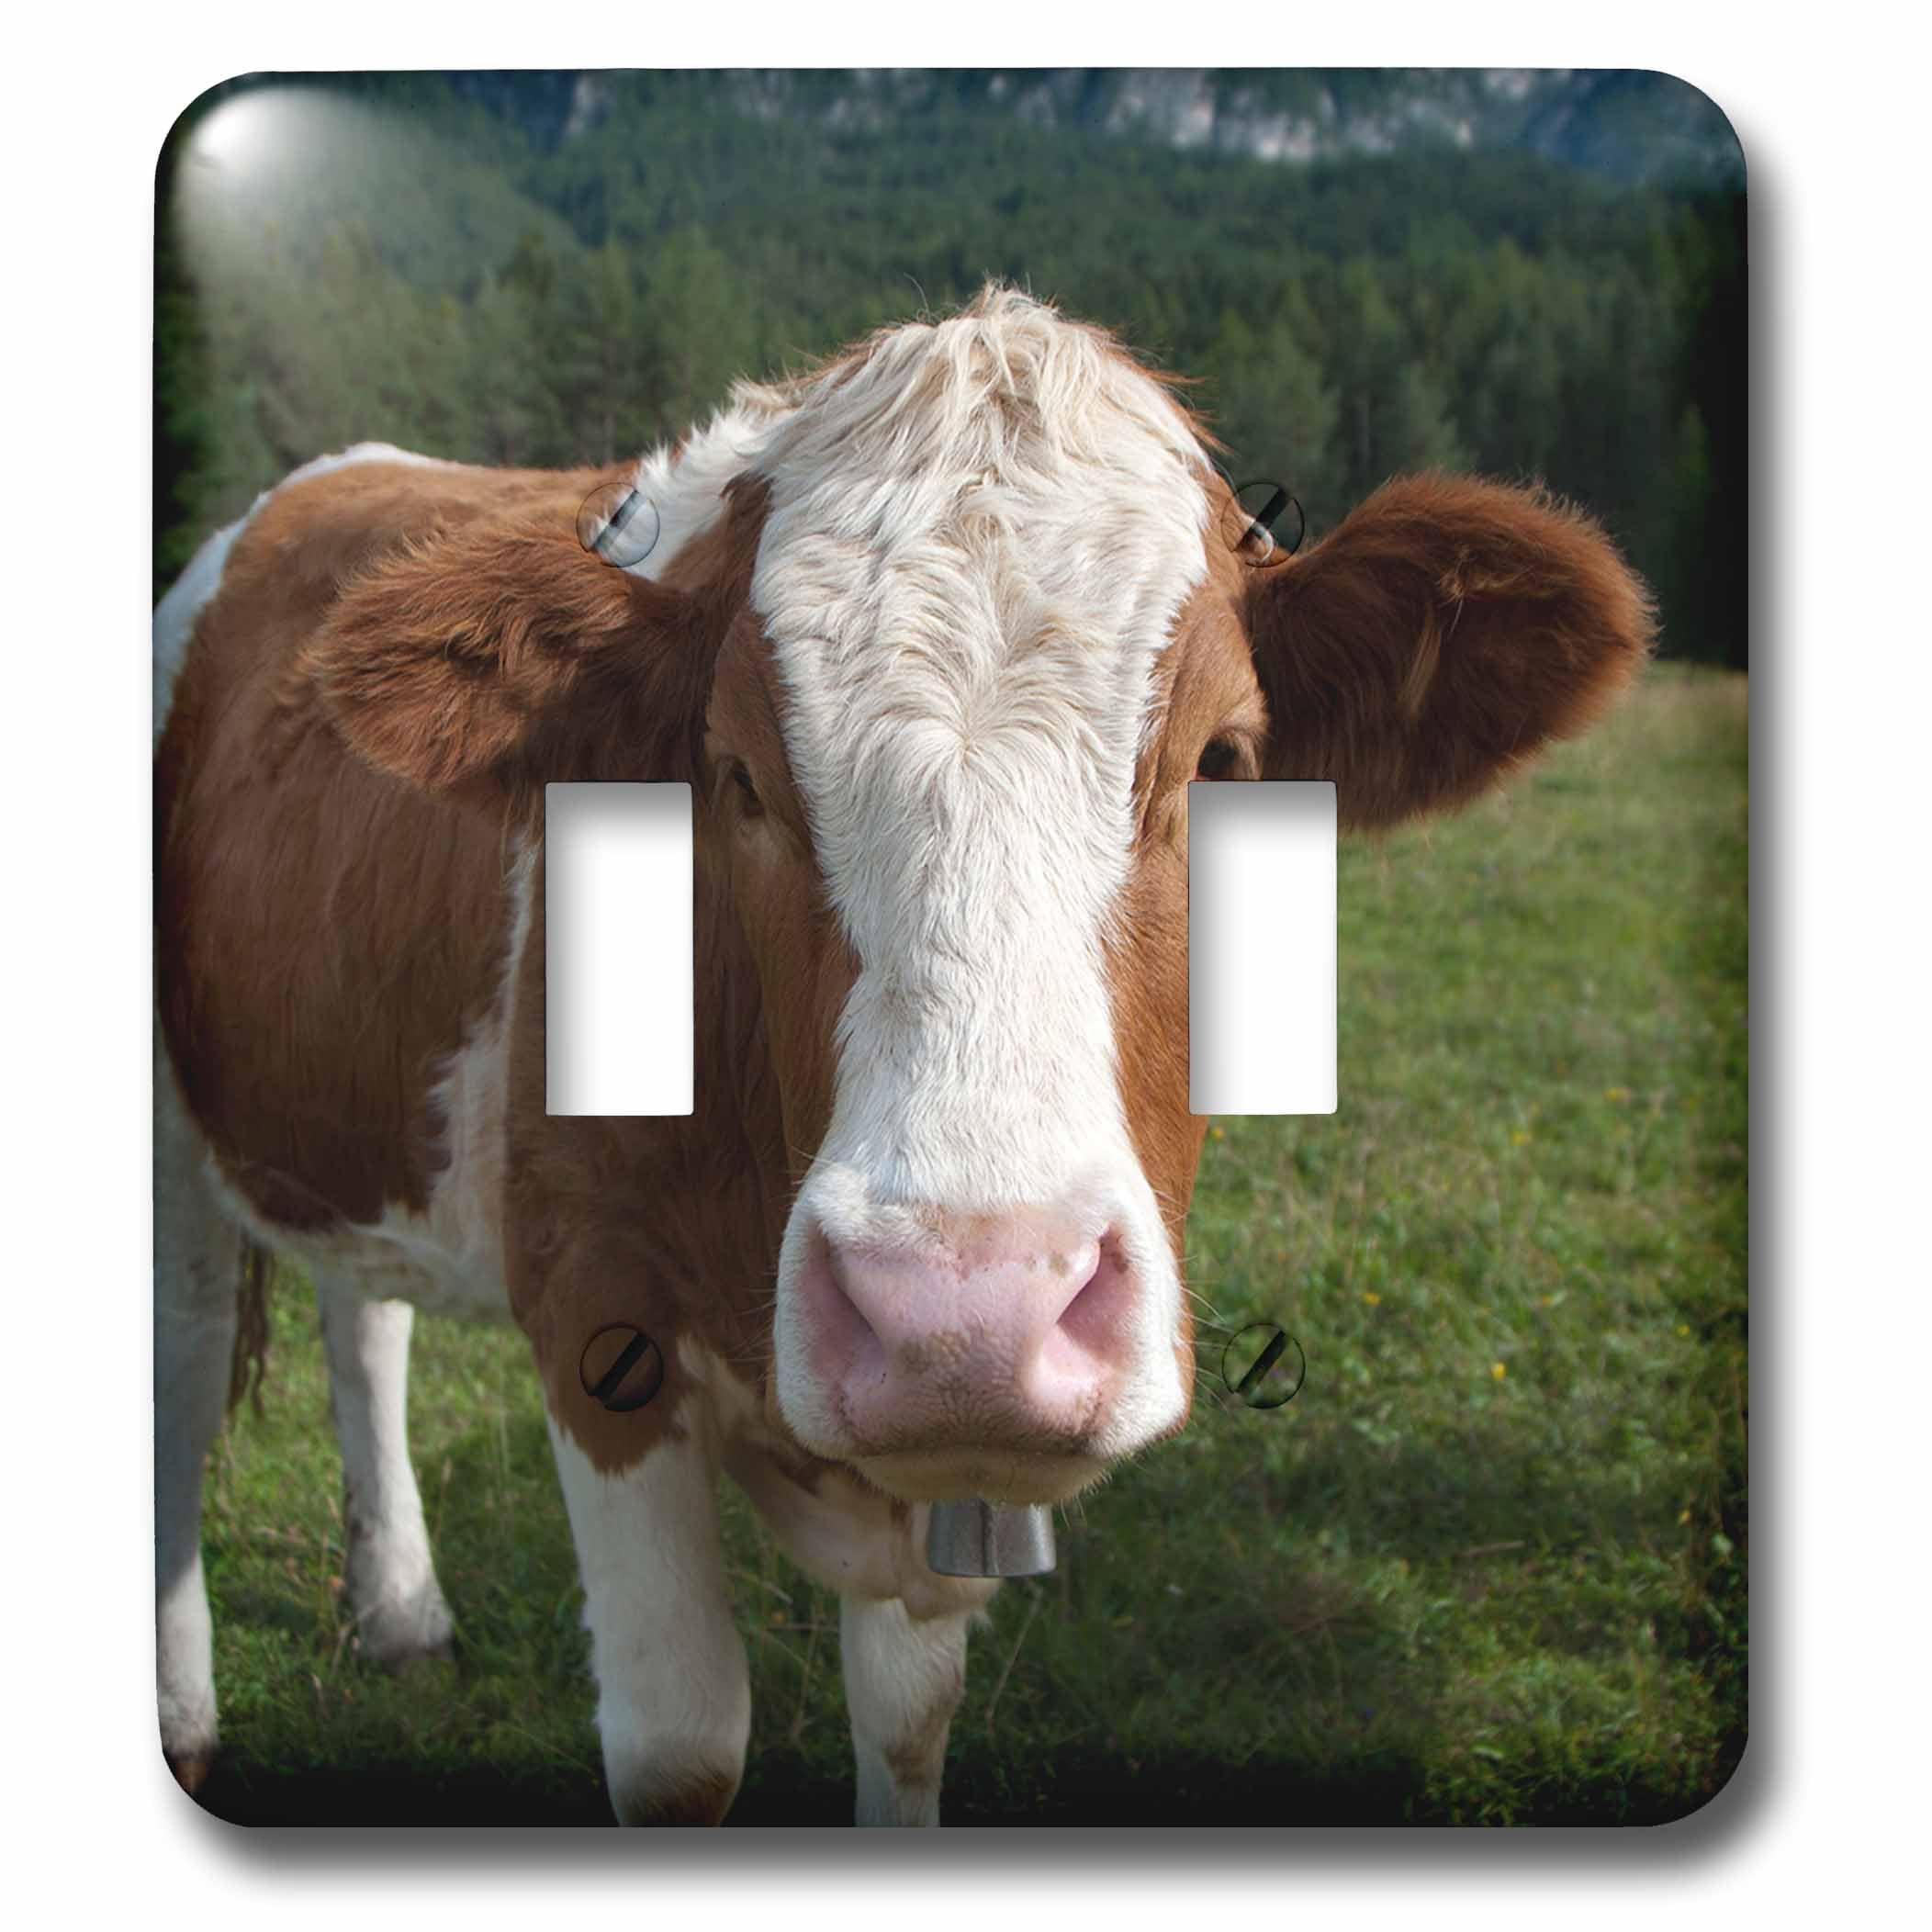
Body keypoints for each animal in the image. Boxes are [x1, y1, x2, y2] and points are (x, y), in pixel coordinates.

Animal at [154, 285, 1652, 1825]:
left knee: (363, 1324)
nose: (964, 1316)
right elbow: (683, 1744)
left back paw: (400, 1610)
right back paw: (190, 1715)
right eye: (736, 774)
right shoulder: (593, 1307)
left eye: (1226, 761)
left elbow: (911, 1717)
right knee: (181, 1383)